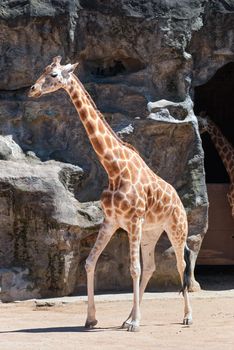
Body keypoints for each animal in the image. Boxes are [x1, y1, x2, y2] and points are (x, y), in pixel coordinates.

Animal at [28, 56, 192, 330]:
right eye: (42, 70)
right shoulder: (111, 221)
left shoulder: (133, 220)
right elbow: (90, 262)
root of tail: (179, 200)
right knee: (151, 267)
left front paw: (135, 323)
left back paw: (186, 316)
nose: (32, 90)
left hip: (176, 229)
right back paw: (128, 317)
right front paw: (92, 319)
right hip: (151, 232)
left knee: (180, 264)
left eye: (53, 74)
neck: (114, 168)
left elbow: (133, 268)